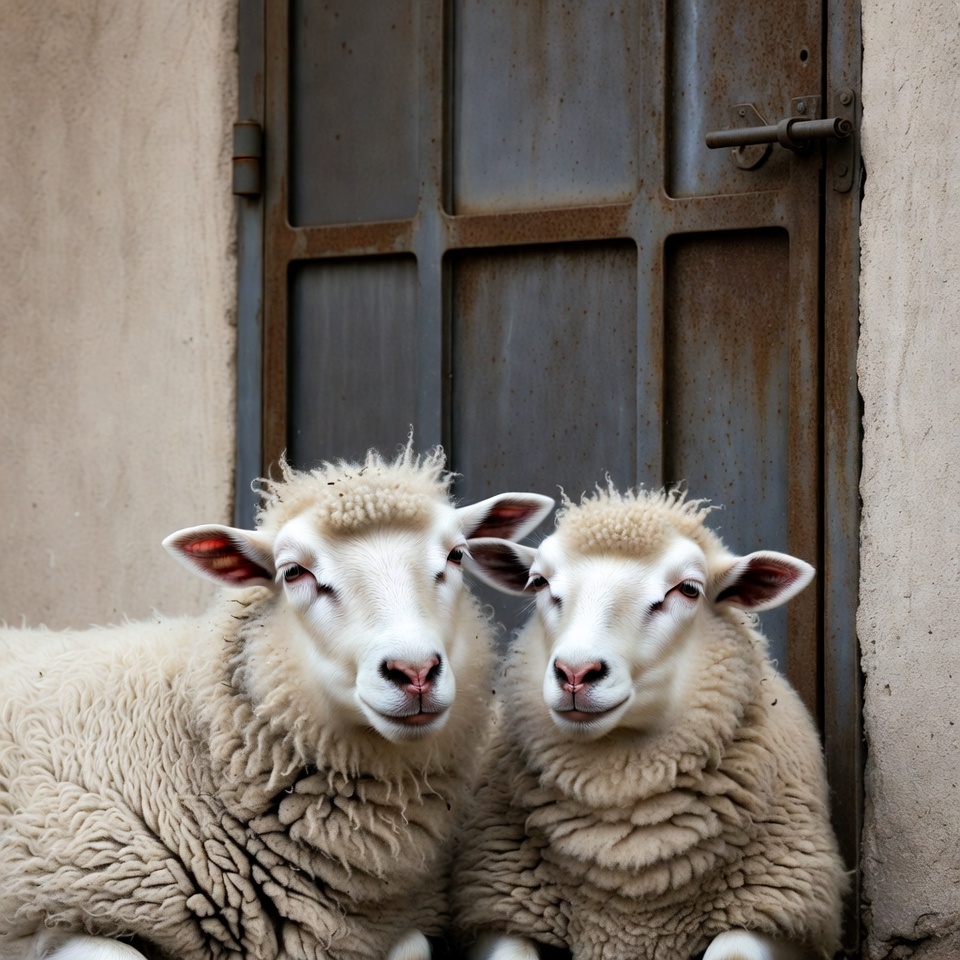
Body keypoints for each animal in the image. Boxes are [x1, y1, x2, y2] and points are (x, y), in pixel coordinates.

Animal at [453, 485, 848, 960]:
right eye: (539, 582)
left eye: (689, 589)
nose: (575, 673)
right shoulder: (497, 908)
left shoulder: (785, 915)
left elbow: (731, 950)